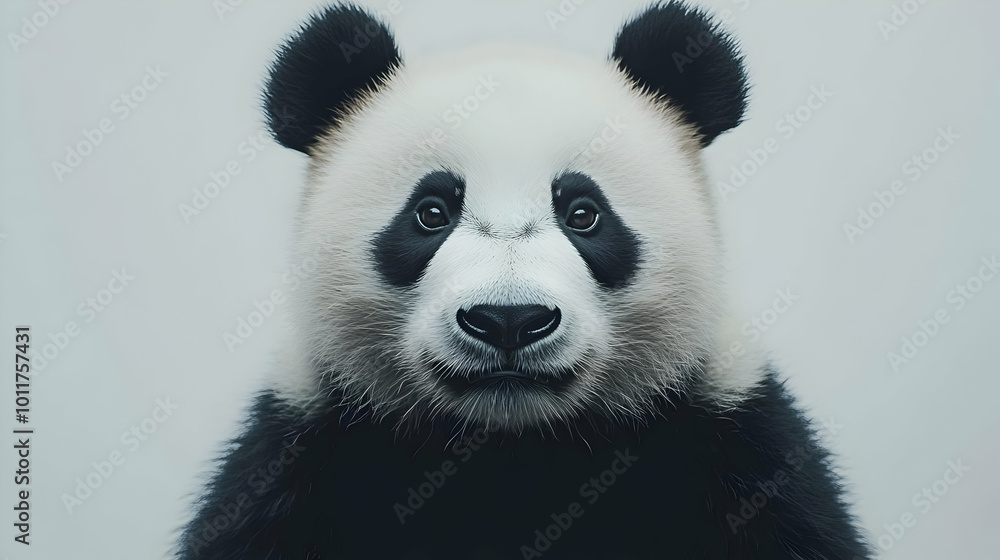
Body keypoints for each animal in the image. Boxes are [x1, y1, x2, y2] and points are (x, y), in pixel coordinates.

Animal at [178, 2, 870, 559]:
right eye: (431, 212)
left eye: (584, 213)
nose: (509, 320)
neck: (513, 448)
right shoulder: (302, 453)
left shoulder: (735, 444)